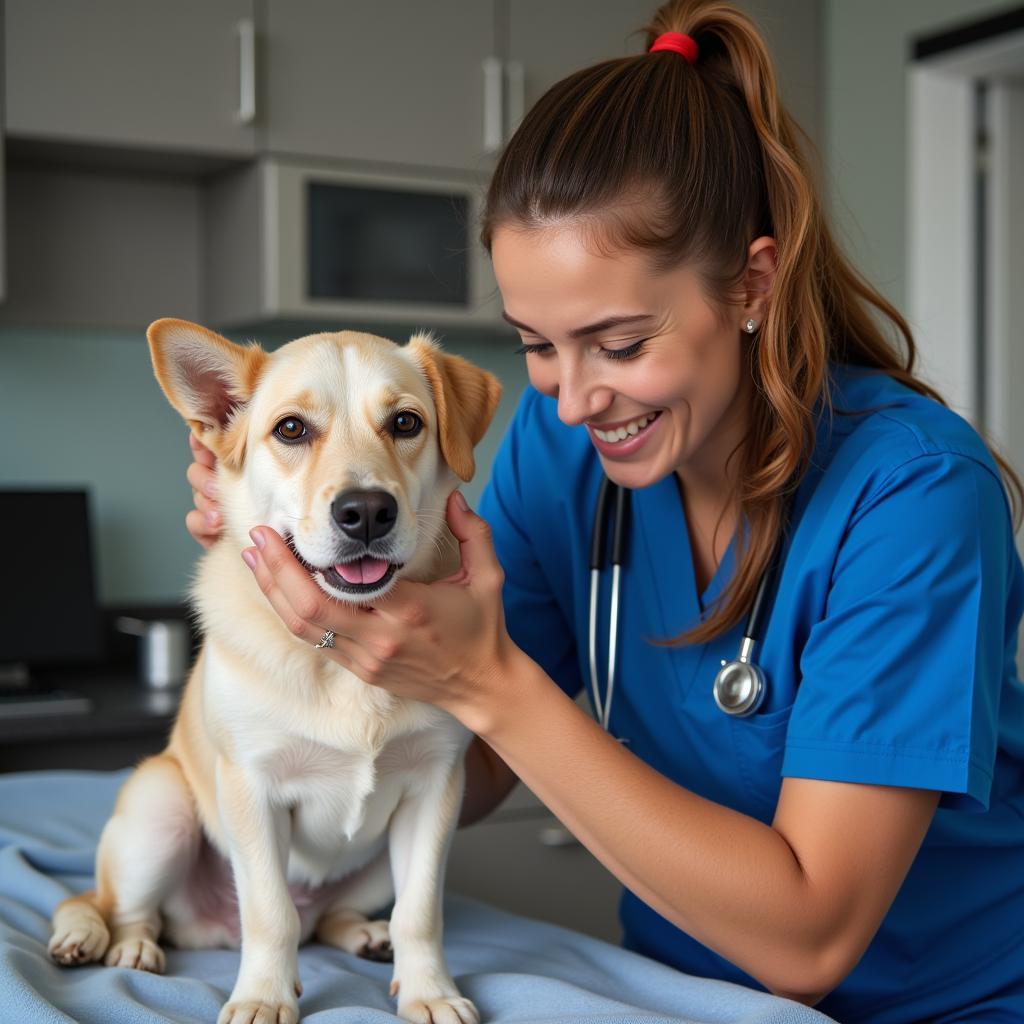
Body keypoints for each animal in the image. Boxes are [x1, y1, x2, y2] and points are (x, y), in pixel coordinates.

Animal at [48, 313, 503, 1024]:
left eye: (406, 423)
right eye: (291, 429)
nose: (366, 512)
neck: (342, 658)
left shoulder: (436, 791)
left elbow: (421, 912)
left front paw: (429, 990)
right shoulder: (253, 790)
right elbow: (270, 913)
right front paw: (263, 996)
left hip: (375, 862)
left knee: (327, 920)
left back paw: (363, 933)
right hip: (160, 809)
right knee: (117, 907)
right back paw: (125, 946)